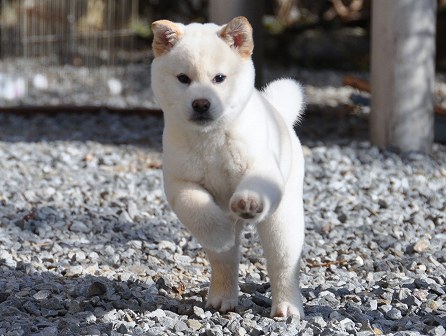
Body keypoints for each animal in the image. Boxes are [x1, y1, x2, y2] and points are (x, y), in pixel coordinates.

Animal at [152, 17, 304, 318]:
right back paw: (222, 297)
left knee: (283, 265)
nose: (201, 103)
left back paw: (287, 307)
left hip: (283, 223)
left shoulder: (261, 168)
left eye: (219, 78)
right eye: (183, 79)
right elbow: (201, 213)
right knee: (225, 261)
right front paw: (221, 232)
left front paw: (248, 203)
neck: (210, 138)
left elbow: (254, 187)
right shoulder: (180, 184)